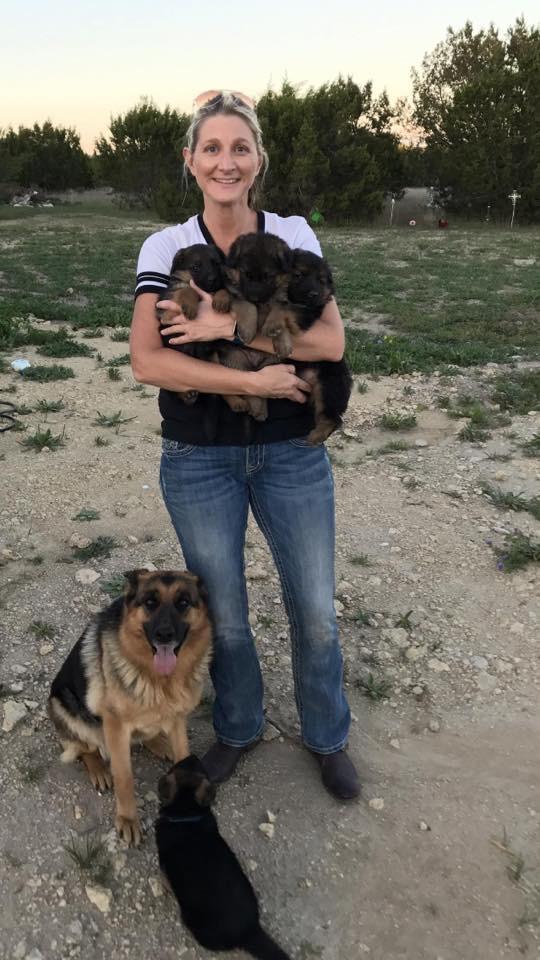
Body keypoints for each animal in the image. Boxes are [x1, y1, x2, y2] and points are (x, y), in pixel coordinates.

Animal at [48, 570, 212, 846]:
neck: (161, 680)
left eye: (183, 603)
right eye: (150, 602)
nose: (164, 635)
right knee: (85, 747)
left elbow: (183, 752)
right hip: (64, 706)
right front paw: (127, 819)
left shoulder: (178, 717)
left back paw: (159, 743)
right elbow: (124, 777)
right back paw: (99, 769)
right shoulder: (115, 726)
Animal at [156, 755, 291, 960]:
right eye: (198, 767)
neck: (187, 814)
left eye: (177, 765)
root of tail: (250, 931)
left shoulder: (163, 863)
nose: (193, 755)